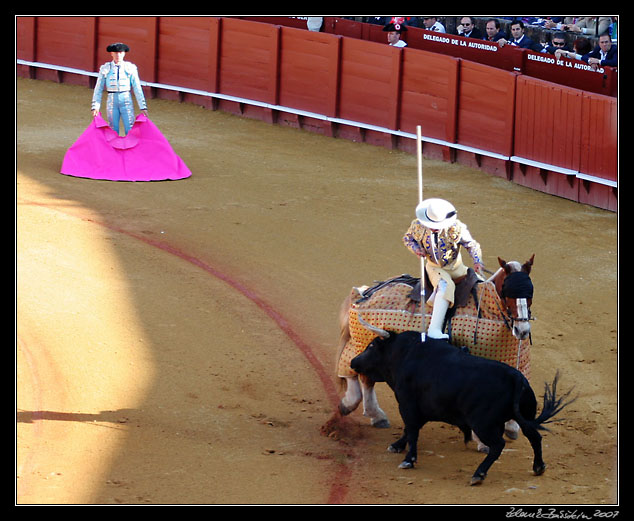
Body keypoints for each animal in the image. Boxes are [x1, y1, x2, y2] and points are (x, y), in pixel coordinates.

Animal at [334, 256, 536, 434]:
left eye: (530, 294)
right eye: (508, 292)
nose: (523, 330)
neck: (489, 306)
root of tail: (364, 292)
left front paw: (511, 427)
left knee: (361, 373)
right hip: (366, 342)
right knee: (358, 371)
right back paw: (363, 409)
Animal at [350, 332, 572, 486]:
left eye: (371, 346)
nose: (353, 362)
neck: (403, 354)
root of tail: (516, 377)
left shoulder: (407, 404)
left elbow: (412, 430)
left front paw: (408, 460)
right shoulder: (422, 409)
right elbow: (411, 430)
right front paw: (396, 446)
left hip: (483, 423)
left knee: (498, 445)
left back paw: (478, 474)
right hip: (525, 417)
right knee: (535, 437)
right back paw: (538, 467)